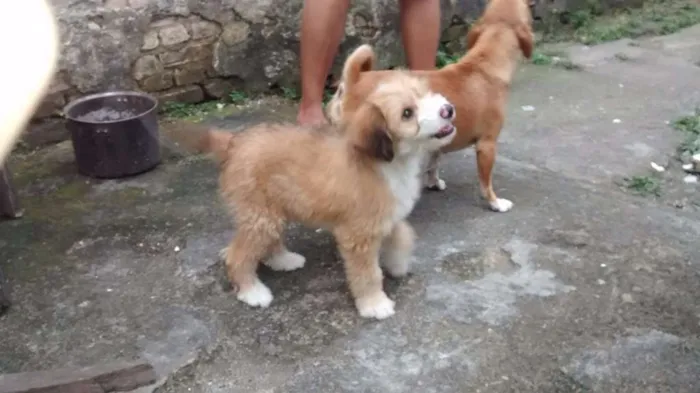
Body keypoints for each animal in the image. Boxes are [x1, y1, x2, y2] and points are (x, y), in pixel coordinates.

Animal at [197, 72, 456, 318]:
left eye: (425, 93)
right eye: (407, 113)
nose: (448, 110)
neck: (385, 161)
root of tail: (234, 142)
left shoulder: (387, 217)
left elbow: (403, 235)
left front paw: (397, 263)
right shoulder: (358, 234)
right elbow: (368, 273)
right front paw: (374, 304)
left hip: (272, 211)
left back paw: (283, 260)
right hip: (260, 216)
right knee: (237, 255)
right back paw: (252, 291)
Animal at [326, 0, 532, 213]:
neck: (483, 65)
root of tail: (354, 80)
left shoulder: (439, 137)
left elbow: (434, 162)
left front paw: (433, 182)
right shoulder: (487, 145)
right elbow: (486, 182)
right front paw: (495, 202)